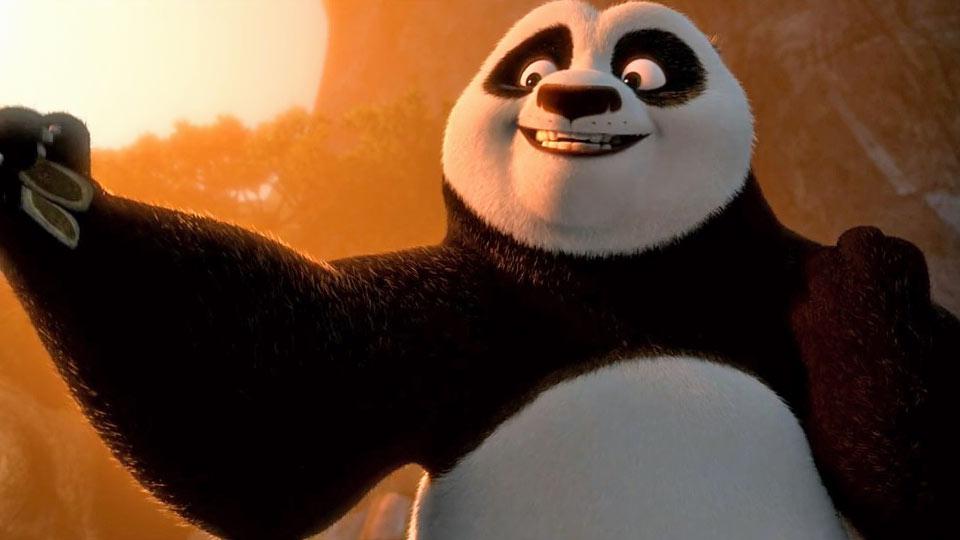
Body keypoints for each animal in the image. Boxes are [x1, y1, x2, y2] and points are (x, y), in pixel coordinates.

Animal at [0, 1, 955, 539]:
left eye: (645, 71)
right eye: (530, 72)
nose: (575, 98)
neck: (618, 276)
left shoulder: (755, 284)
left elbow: (901, 472)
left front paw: (872, 264)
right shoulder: (453, 328)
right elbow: (258, 422)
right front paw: (43, 174)